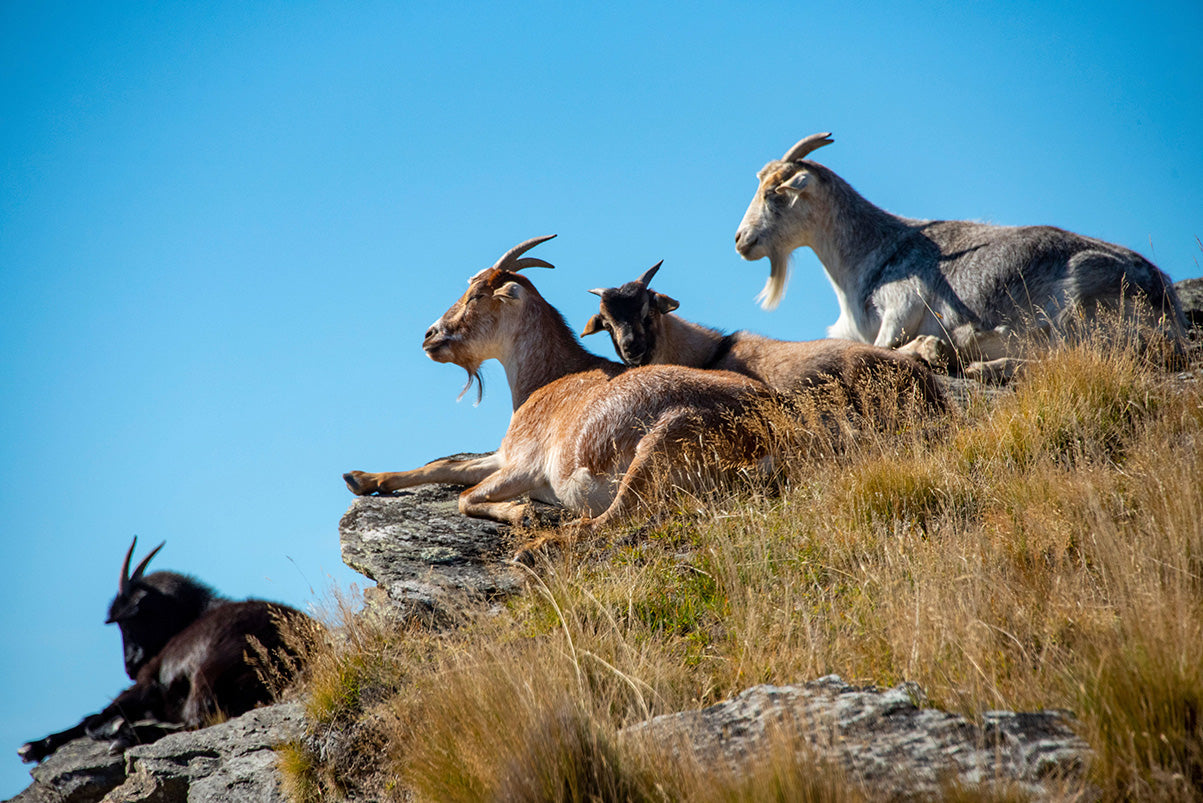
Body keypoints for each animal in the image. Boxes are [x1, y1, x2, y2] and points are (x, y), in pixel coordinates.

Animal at [18, 538, 309, 763]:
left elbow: (95, 718)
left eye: (129, 621)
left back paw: (125, 738)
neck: (195, 613)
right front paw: (35, 747)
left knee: (196, 720)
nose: (130, 666)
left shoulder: (149, 682)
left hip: (208, 674)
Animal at [343, 235, 777, 538]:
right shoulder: (504, 456)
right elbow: (445, 466)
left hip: (658, 445)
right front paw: (362, 478)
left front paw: (521, 513)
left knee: (605, 521)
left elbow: (466, 497)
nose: (431, 336)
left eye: (477, 295)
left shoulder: (526, 466)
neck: (548, 379)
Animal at [734, 132, 1187, 379]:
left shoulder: (899, 311)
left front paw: (934, 349)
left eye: (775, 193)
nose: (741, 240)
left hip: (1073, 315)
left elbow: (892, 348)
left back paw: (978, 363)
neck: (873, 251)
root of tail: (1167, 302)